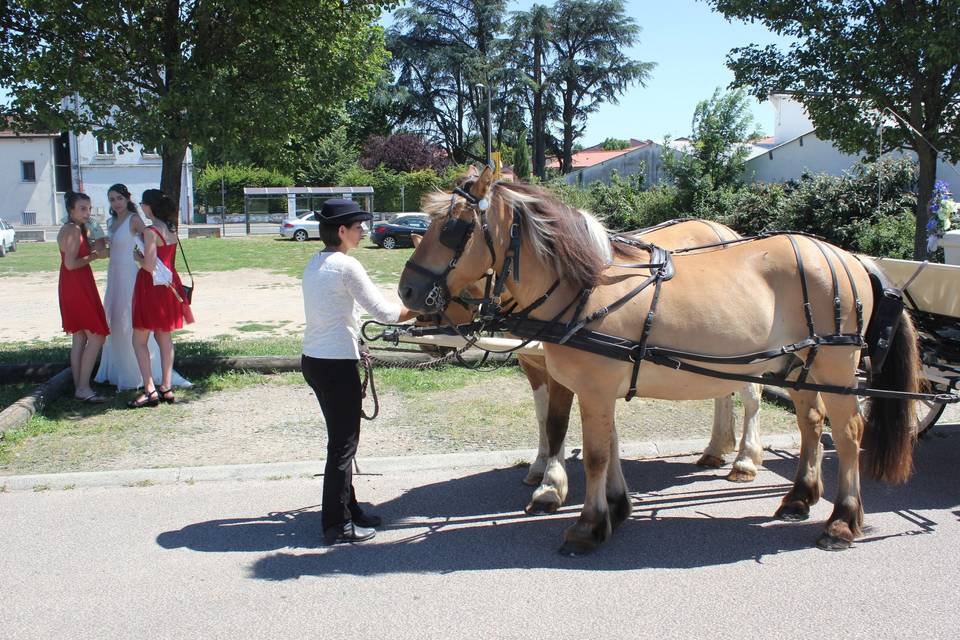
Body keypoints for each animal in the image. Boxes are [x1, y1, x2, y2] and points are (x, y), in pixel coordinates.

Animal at [414, 220, 764, 520]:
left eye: (464, 279)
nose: (428, 337)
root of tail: (723, 230)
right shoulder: (537, 366)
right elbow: (545, 418)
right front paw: (542, 466)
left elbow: (559, 422)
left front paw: (552, 486)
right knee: (722, 394)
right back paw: (716, 448)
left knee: (751, 397)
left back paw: (745, 460)